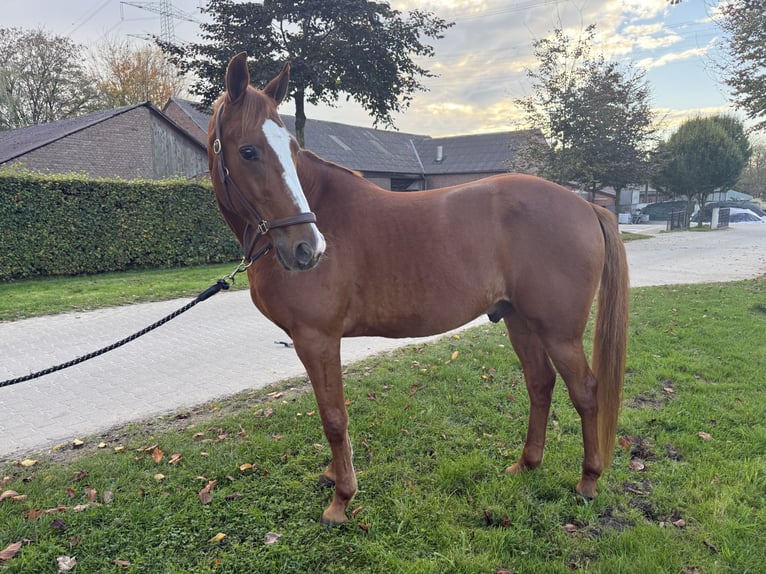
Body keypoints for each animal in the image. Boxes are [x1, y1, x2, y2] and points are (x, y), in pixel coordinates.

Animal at [210, 54, 632, 528]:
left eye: (292, 149)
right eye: (249, 150)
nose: (308, 248)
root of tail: (587, 206)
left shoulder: (317, 339)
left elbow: (333, 416)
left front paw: (341, 499)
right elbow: (331, 413)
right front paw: (334, 475)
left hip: (559, 333)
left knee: (586, 393)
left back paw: (588, 481)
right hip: (519, 320)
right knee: (540, 384)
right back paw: (526, 464)